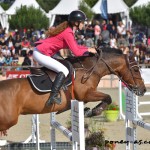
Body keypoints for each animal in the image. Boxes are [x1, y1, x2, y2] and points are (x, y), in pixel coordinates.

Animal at [0, 47, 146, 134]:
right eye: (135, 69)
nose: (143, 90)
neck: (89, 69)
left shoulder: (82, 98)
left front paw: (87, 111)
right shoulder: (85, 94)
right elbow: (108, 97)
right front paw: (93, 111)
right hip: (9, 119)